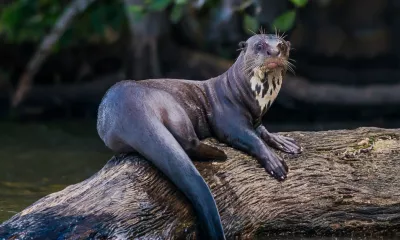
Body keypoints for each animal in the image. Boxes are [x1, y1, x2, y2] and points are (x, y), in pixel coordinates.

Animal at [97, 33, 302, 240]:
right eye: (259, 45)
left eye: (282, 45)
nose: (274, 52)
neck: (242, 93)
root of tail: (131, 107)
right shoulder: (228, 120)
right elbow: (251, 138)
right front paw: (274, 162)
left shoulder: (257, 118)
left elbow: (262, 131)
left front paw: (284, 142)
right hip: (172, 105)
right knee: (188, 142)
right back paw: (219, 154)